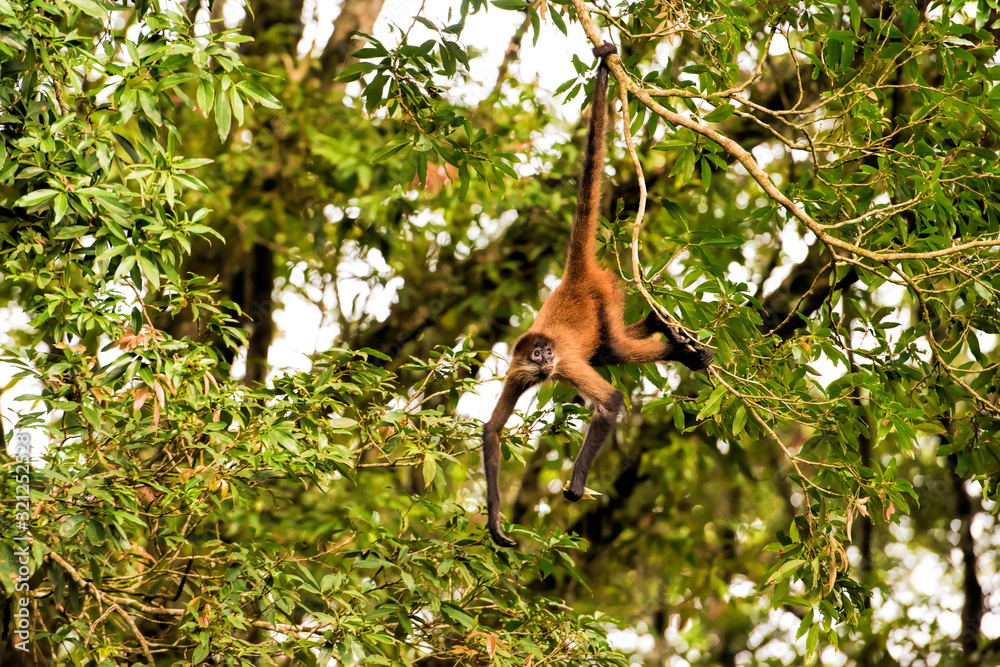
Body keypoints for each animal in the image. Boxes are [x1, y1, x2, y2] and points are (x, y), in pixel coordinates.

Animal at [481, 43, 713, 548]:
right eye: (536, 354)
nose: (545, 360)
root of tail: (574, 275)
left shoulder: (565, 365)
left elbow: (608, 403)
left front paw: (576, 484)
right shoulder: (517, 371)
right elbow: (491, 431)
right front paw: (495, 524)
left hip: (604, 294)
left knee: (617, 351)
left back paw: (679, 351)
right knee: (611, 349)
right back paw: (660, 325)